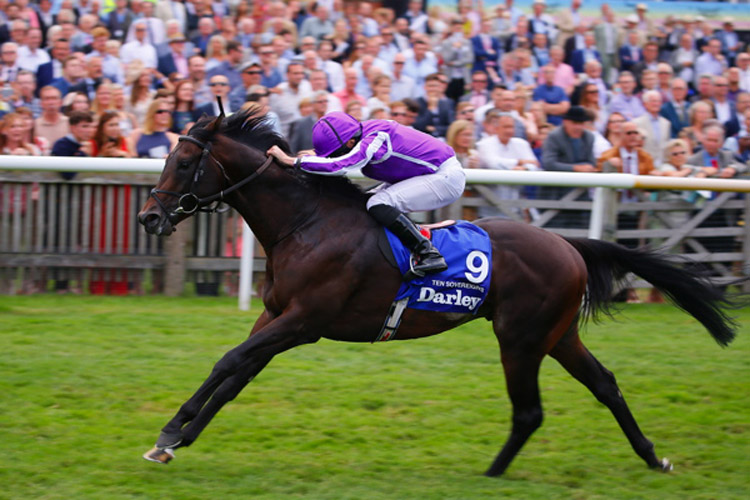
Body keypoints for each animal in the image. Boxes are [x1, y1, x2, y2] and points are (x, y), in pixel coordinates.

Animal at [137, 110, 740, 476]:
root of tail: (568, 245)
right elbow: (234, 376)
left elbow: (228, 361)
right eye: (166, 158)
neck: (306, 223)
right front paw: (177, 440)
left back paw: (493, 474)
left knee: (529, 411)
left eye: (185, 162)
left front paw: (169, 431)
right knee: (606, 385)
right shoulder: (277, 317)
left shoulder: (304, 322)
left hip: (521, 338)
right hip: (558, 335)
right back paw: (653, 458)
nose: (148, 217)